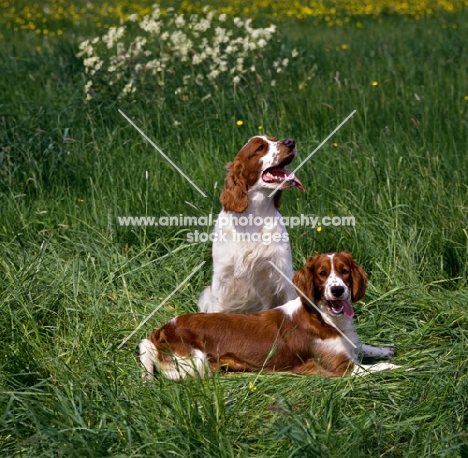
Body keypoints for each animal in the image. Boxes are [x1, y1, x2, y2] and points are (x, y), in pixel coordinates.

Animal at [140, 250, 398, 380]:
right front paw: (401, 367)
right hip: (197, 362)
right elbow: (380, 367)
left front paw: (383, 349)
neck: (323, 317)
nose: (337, 290)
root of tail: (162, 329)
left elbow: (361, 346)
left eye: (344, 271)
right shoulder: (339, 369)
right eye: (322, 273)